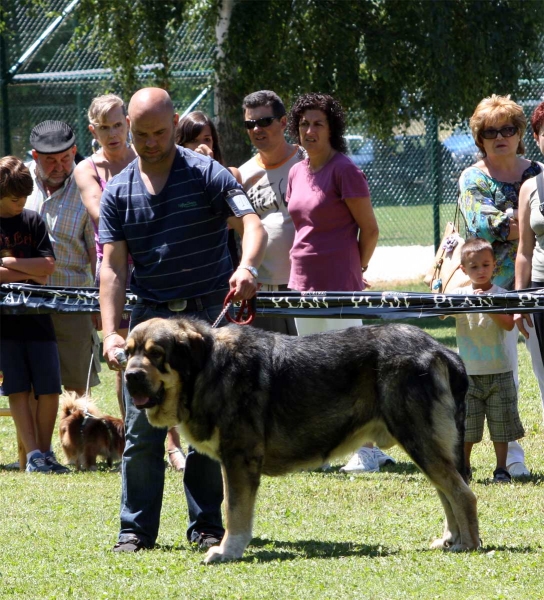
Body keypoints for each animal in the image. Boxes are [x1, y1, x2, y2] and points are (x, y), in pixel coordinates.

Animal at [124, 318, 480, 564]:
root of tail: (440, 350)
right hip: (427, 444)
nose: (130, 376)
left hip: (419, 439)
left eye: (156, 354)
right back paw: (450, 539)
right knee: (448, 492)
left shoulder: (239, 460)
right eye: (127, 353)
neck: (208, 368)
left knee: (462, 494)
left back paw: (468, 544)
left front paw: (227, 550)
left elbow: (234, 511)